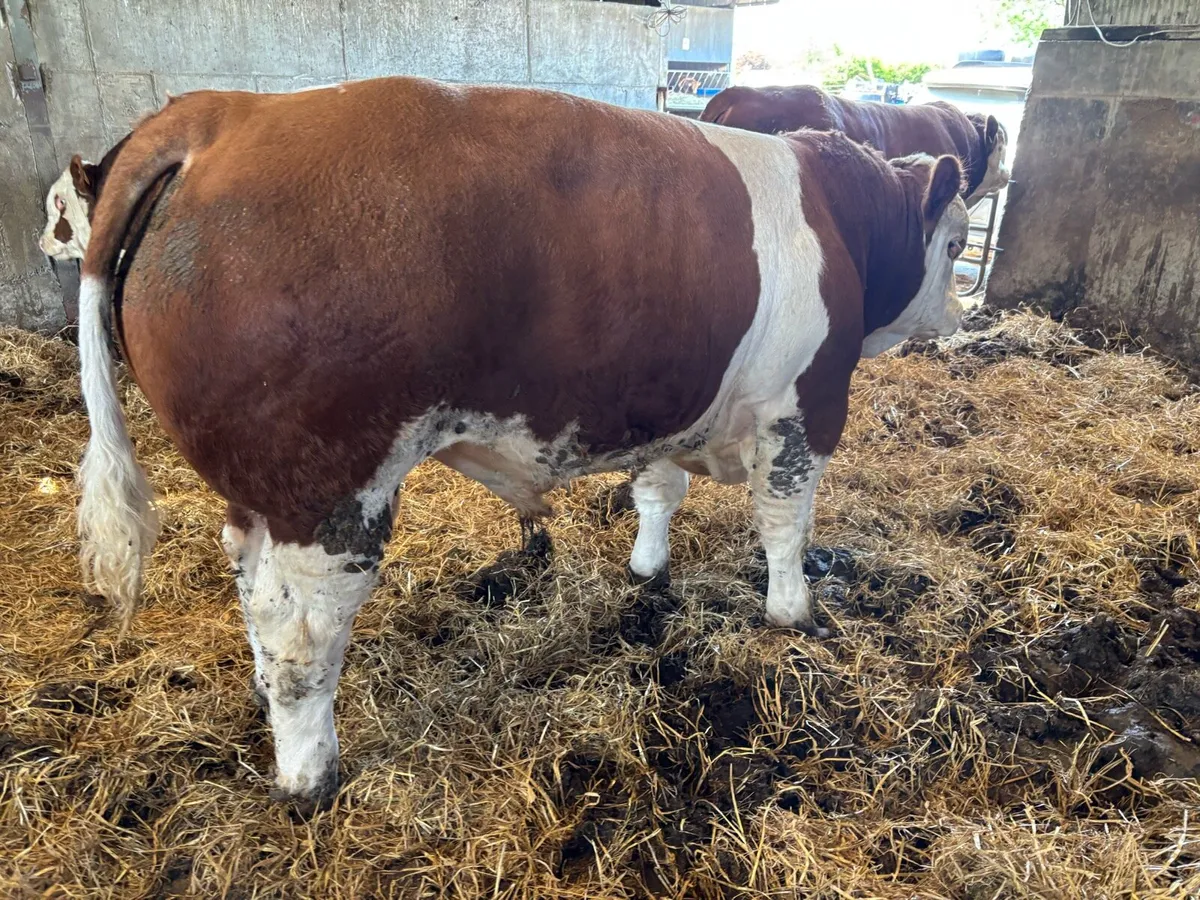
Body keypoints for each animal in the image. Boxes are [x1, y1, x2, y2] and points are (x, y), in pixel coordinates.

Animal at [74, 76, 968, 813]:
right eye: (958, 244)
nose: (960, 315)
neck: (838, 220)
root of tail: (226, 112)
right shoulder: (805, 406)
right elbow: (785, 522)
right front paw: (793, 612)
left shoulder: (661, 397)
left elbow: (657, 491)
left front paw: (648, 568)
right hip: (328, 490)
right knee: (302, 633)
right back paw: (309, 775)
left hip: (257, 493)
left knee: (254, 593)